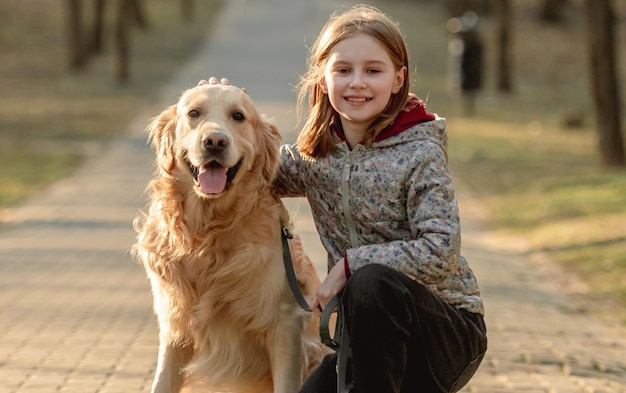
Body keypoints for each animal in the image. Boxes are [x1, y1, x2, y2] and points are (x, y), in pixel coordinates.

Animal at [133, 84, 324, 390]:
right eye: (193, 113)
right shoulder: (175, 325)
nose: (214, 142)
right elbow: (162, 381)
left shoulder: (286, 325)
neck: (208, 234)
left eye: (238, 116)